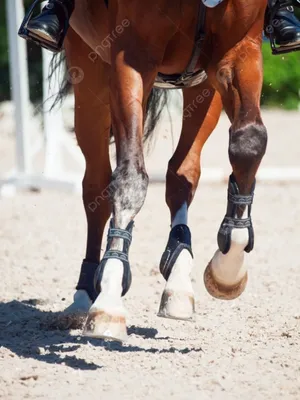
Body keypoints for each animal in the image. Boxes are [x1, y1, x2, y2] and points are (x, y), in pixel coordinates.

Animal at [55, 0, 268, 342]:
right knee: (96, 186)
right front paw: (109, 297)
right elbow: (130, 179)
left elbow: (248, 142)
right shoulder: (133, 57)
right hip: (89, 73)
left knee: (182, 173)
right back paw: (84, 294)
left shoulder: (239, 50)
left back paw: (178, 278)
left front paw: (228, 268)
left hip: (203, 85)